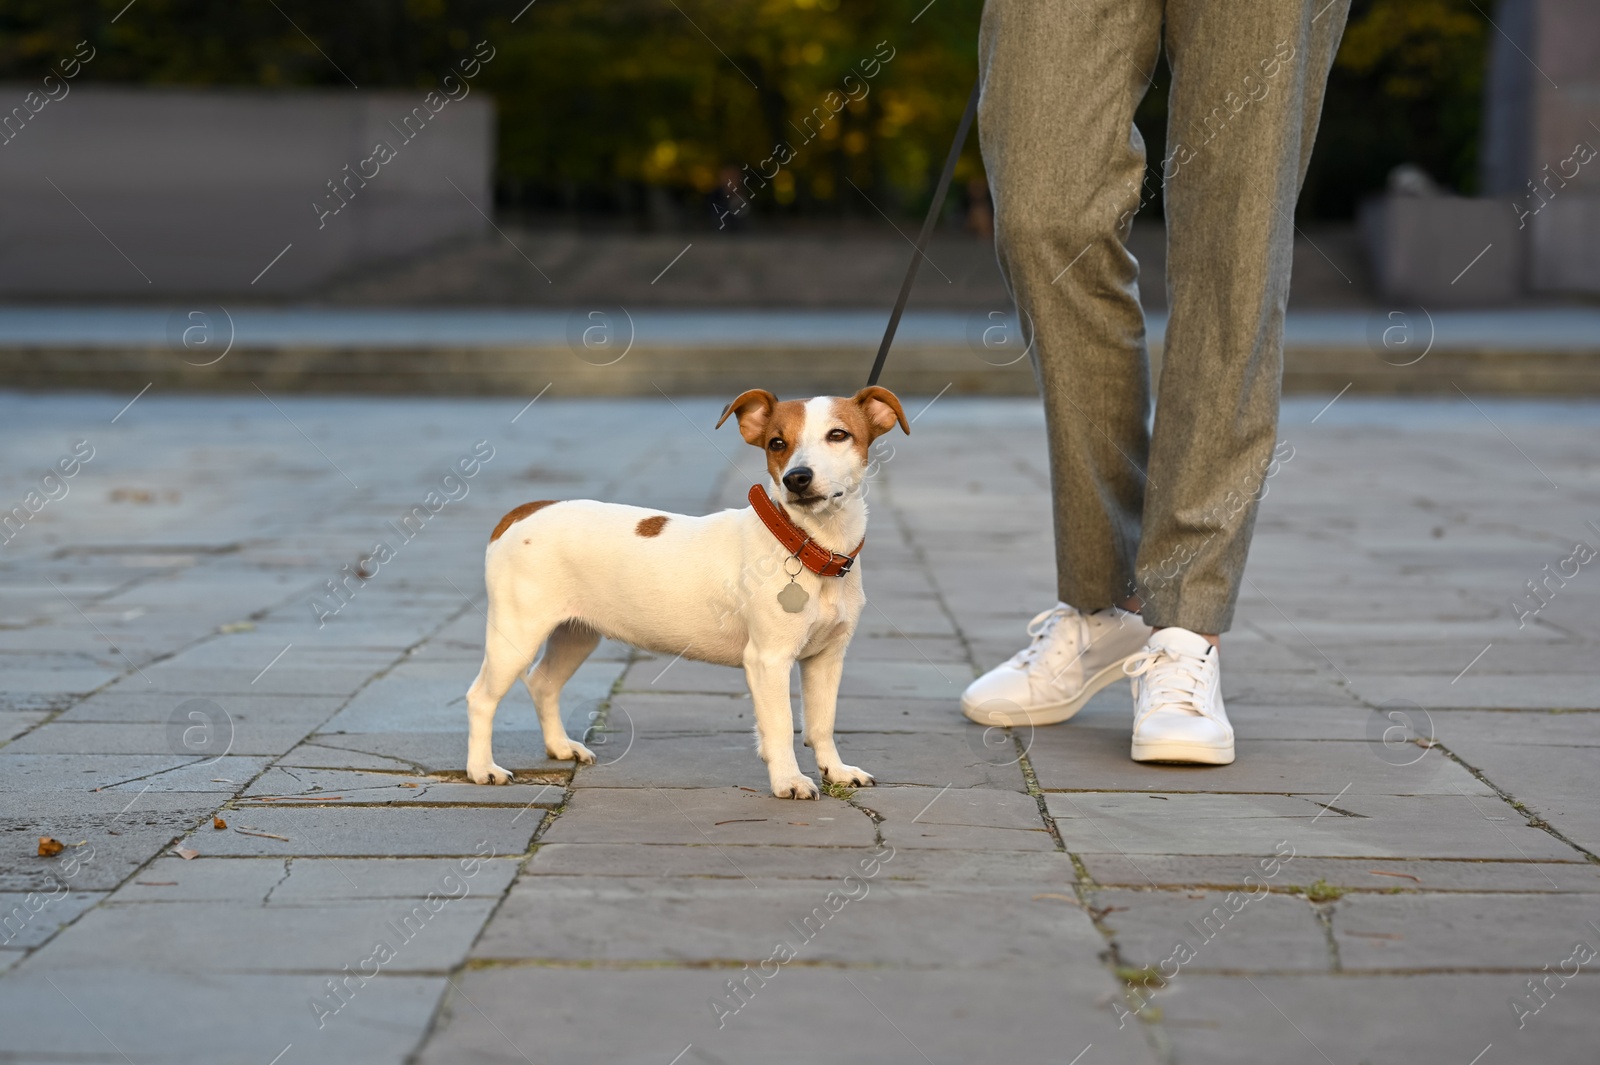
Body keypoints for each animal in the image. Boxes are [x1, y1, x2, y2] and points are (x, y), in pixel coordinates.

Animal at [467, 385, 908, 793]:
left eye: (838, 435)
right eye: (777, 443)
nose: (796, 478)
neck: (804, 543)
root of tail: (524, 511)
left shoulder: (826, 659)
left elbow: (821, 724)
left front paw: (836, 770)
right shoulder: (768, 660)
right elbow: (782, 725)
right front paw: (788, 779)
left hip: (576, 634)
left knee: (543, 683)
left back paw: (560, 747)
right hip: (517, 634)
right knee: (481, 697)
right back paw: (482, 769)